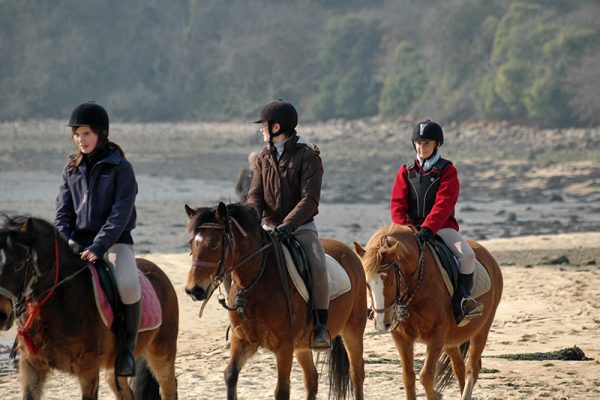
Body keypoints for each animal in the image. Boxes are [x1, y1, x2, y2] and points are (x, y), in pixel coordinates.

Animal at [0, 216, 178, 400]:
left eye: (18, 265)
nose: (1, 315)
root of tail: (158, 271)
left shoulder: (88, 369)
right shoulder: (32, 366)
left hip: (162, 352)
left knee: (168, 389)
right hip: (113, 368)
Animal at [185, 203, 368, 400]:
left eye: (213, 244)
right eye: (191, 243)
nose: (193, 289)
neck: (254, 285)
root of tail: (349, 251)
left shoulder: (284, 347)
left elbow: (281, 391)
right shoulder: (243, 340)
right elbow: (230, 376)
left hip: (353, 331)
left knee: (357, 374)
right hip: (303, 346)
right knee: (312, 379)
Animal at [354, 225, 504, 400]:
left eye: (390, 283)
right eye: (367, 284)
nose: (381, 324)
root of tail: (489, 257)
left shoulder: (436, 335)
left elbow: (426, 376)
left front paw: (436, 394)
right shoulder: (401, 338)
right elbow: (408, 377)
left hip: (481, 330)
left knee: (472, 367)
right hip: (450, 341)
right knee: (459, 366)